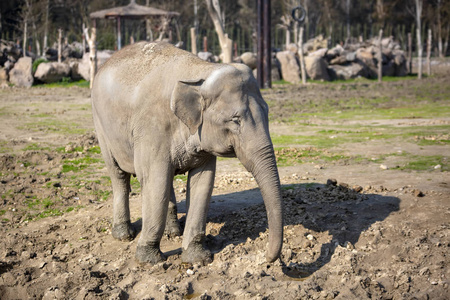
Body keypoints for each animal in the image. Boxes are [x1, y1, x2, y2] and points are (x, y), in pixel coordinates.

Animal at [90, 41, 284, 264]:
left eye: (267, 112)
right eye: (235, 120)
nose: (267, 257)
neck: (202, 71)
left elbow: (202, 182)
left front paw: (197, 258)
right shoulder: (151, 128)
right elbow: (155, 181)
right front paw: (150, 260)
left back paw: (173, 232)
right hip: (101, 126)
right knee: (120, 176)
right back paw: (124, 235)